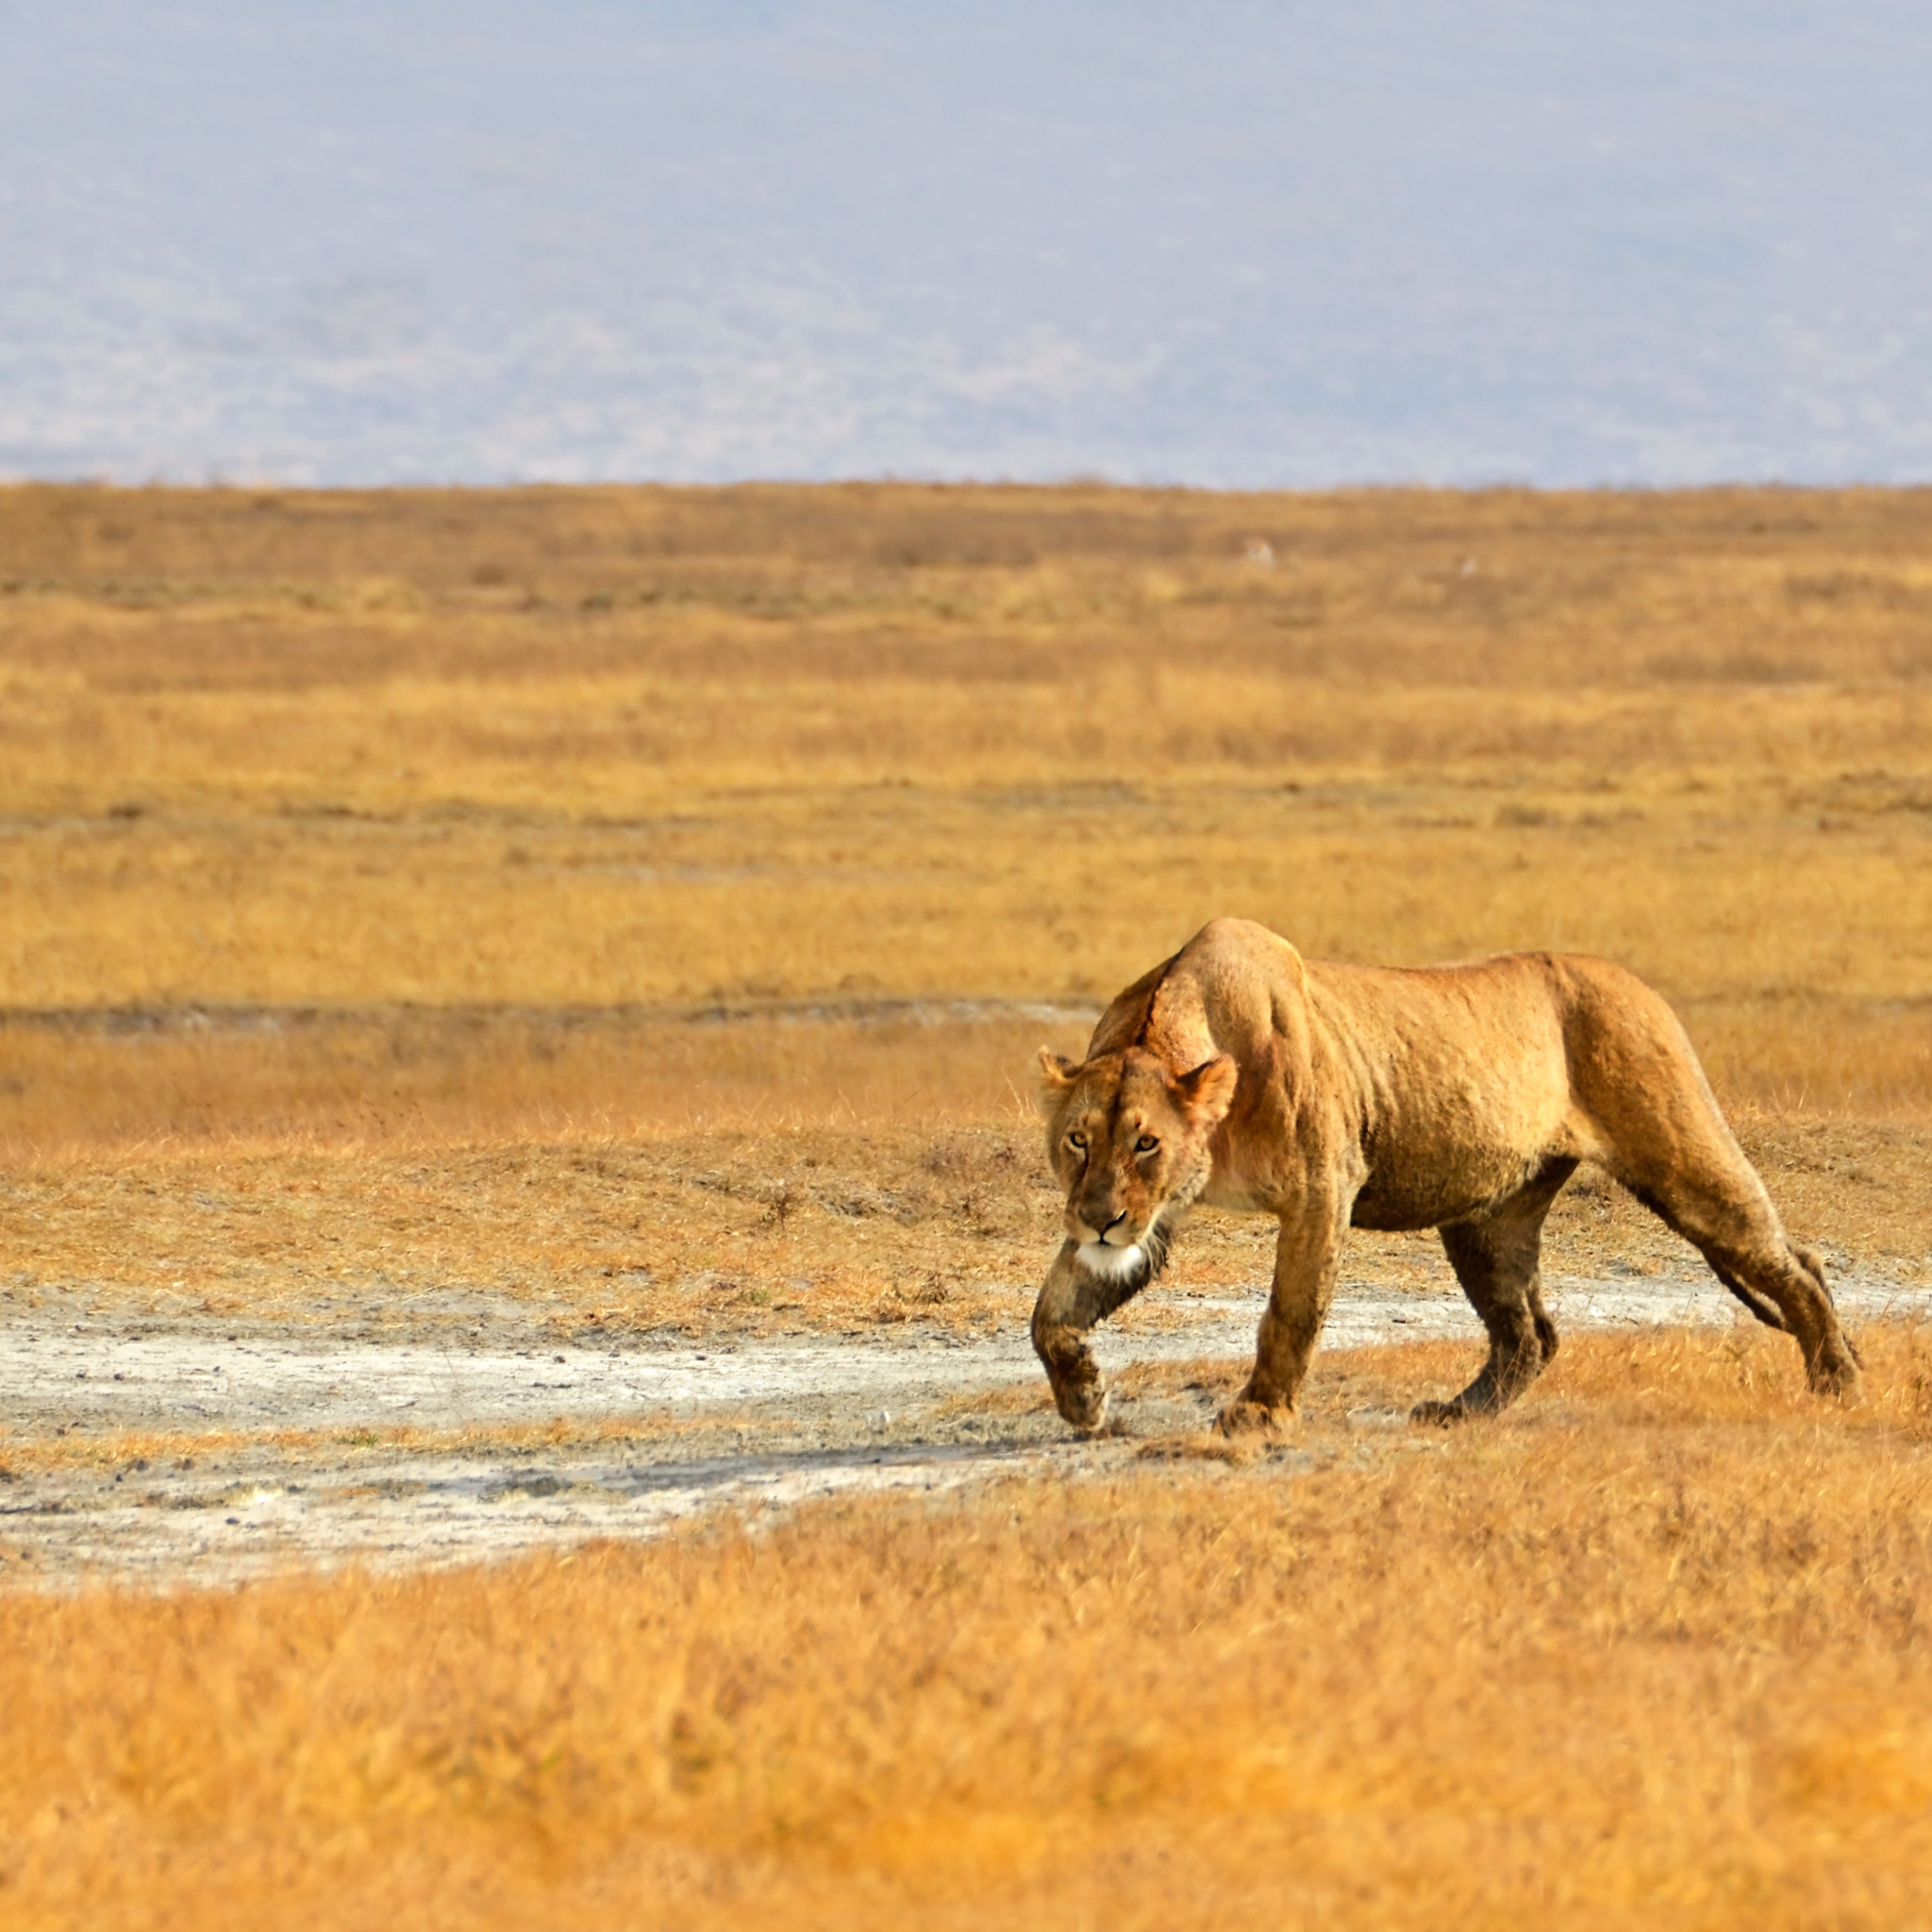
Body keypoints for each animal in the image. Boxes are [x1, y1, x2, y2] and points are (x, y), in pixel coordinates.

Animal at [1032, 917, 1859, 1434]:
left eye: (1146, 1143)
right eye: (1076, 1141)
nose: (1099, 1218)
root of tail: (1636, 983)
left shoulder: (1320, 1188)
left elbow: (1290, 1314)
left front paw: (1259, 1415)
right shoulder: (1152, 1220)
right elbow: (1051, 1313)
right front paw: (1085, 1399)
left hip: (1681, 1158)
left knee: (1797, 1262)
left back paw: (1838, 1379)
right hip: (1488, 1220)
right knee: (1531, 1334)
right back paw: (1463, 1413)